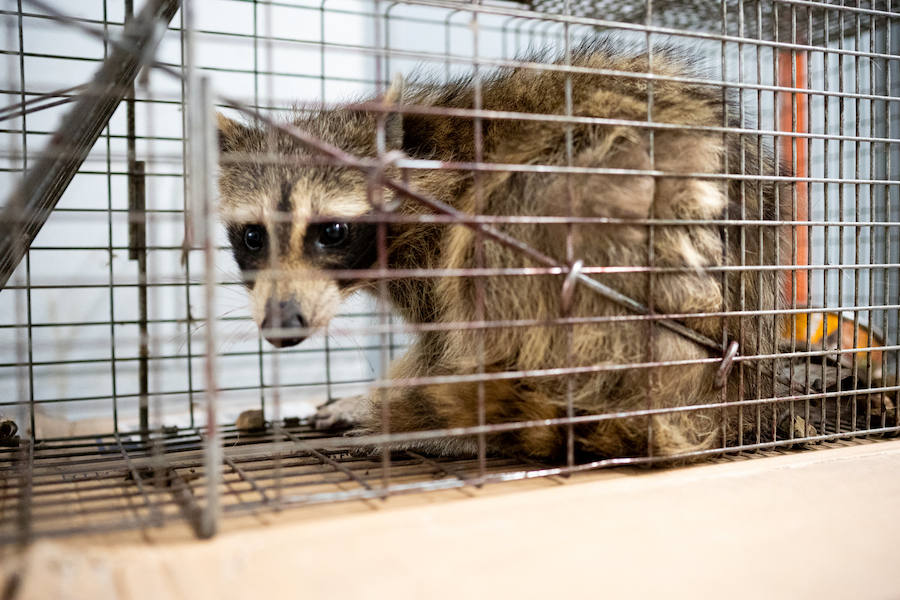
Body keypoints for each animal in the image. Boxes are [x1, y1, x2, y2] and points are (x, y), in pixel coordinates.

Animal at [216, 39, 788, 460]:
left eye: (331, 232)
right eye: (253, 236)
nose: (282, 324)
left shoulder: (439, 231)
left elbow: (445, 344)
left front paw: (386, 398)